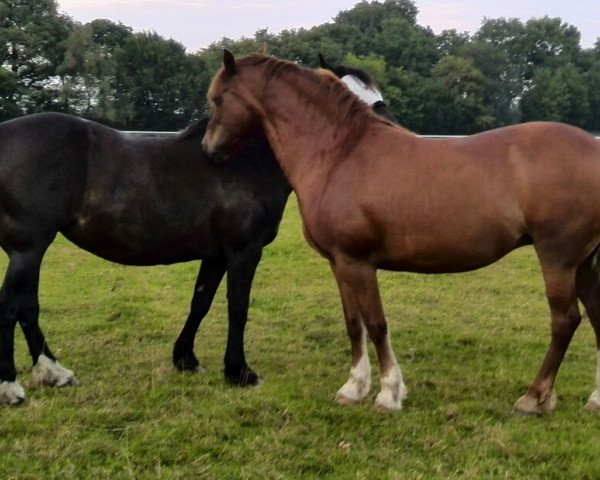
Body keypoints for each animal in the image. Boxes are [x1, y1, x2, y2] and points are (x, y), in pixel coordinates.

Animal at [0, 112, 292, 404]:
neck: (245, 160)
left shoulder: (217, 255)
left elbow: (201, 302)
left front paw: (186, 359)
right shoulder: (244, 250)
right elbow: (238, 308)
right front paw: (240, 372)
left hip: (30, 252)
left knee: (27, 307)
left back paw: (54, 372)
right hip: (28, 250)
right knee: (11, 307)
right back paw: (10, 385)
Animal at [203, 50, 600, 414]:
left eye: (217, 99)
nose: (208, 149)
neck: (341, 153)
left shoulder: (359, 262)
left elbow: (377, 324)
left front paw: (389, 393)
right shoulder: (339, 263)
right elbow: (354, 324)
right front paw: (353, 388)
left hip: (559, 259)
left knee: (565, 321)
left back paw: (534, 398)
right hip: (583, 264)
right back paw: (594, 399)